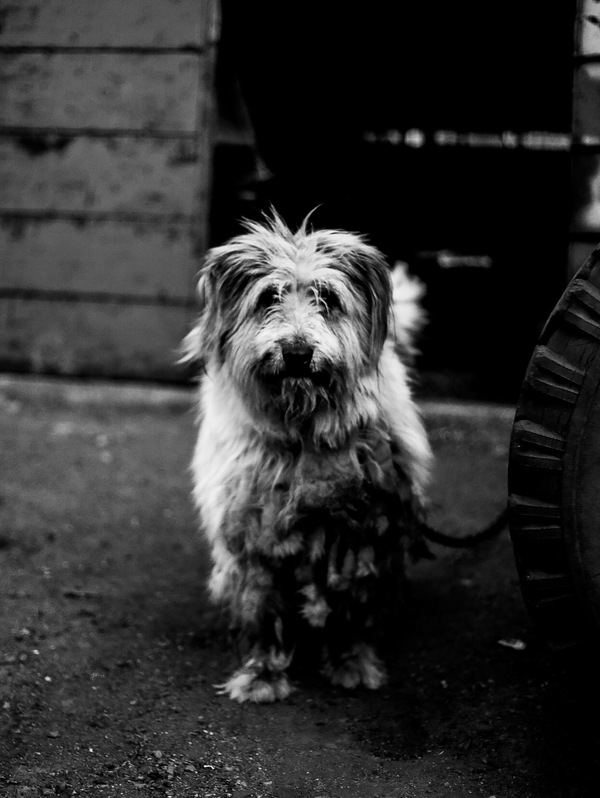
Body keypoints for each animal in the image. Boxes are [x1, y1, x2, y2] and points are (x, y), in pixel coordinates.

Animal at [182, 212, 432, 708]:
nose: (297, 353)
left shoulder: (363, 532)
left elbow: (355, 604)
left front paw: (352, 662)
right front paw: (262, 674)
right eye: (269, 297)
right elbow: (261, 607)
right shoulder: (253, 529)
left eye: (328, 298)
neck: (302, 433)